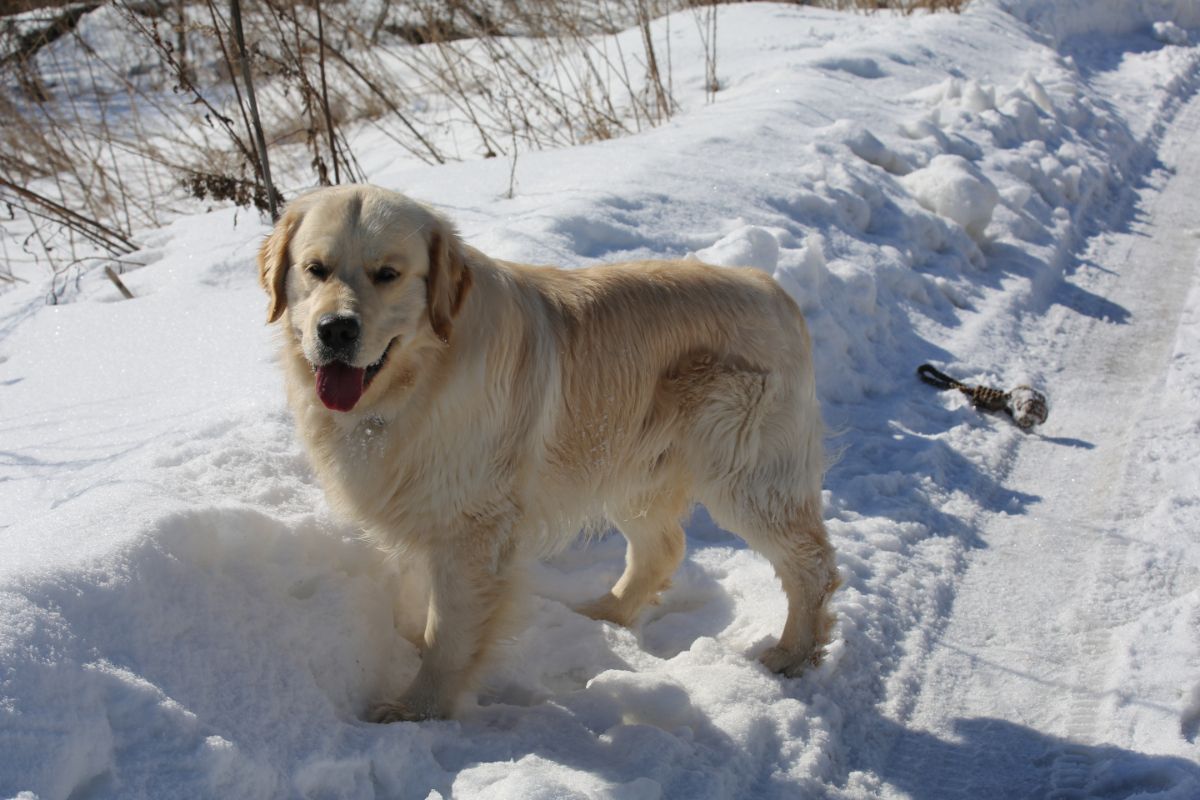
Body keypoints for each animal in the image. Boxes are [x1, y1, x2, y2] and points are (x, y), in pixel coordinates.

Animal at [258, 184, 840, 724]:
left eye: (388, 274)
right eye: (315, 269)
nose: (336, 329)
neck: (419, 379)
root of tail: (773, 291)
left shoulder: (474, 527)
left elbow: (450, 632)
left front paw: (418, 710)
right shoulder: (427, 507)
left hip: (748, 474)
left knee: (811, 563)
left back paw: (792, 654)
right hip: (632, 470)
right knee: (663, 548)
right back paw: (603, 613)